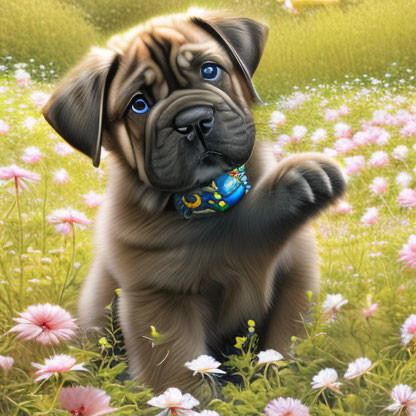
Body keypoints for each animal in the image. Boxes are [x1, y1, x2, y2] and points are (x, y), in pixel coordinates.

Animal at [42, 9, 348, 400]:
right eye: (139, 105)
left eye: (210, 71)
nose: (192, 120)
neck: (207, 196)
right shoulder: (162, 300)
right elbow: (181, 372)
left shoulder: (295, 278)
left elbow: (284, 344)